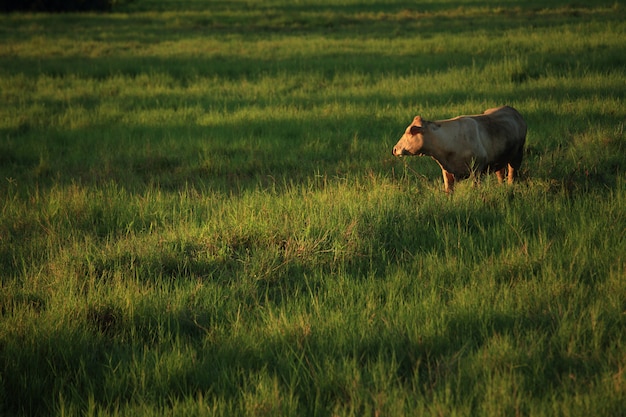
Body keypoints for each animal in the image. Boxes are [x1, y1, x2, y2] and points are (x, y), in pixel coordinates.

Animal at [392, 105, 524, 193]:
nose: (394, 149)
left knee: (512, 175)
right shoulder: (447, 172)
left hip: (518, 155)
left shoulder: (477, 170)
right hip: (500, 160)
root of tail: (512, 110)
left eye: (409, 132)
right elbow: (448, 190)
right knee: (501, 174)